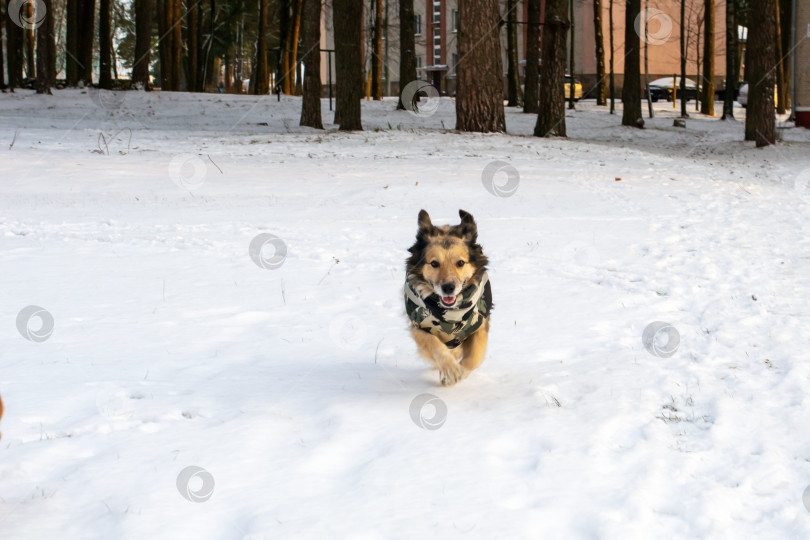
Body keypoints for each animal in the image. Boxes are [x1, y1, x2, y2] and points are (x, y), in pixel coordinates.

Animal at [402, 209, 490, 386]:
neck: (451, 314)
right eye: (434, 263)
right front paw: (450, 369)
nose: (448, 288)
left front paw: (461, 372)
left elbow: (474, 357)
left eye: (460, 263)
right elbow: (434, 345)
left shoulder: (480, 324)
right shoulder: (419, 326)